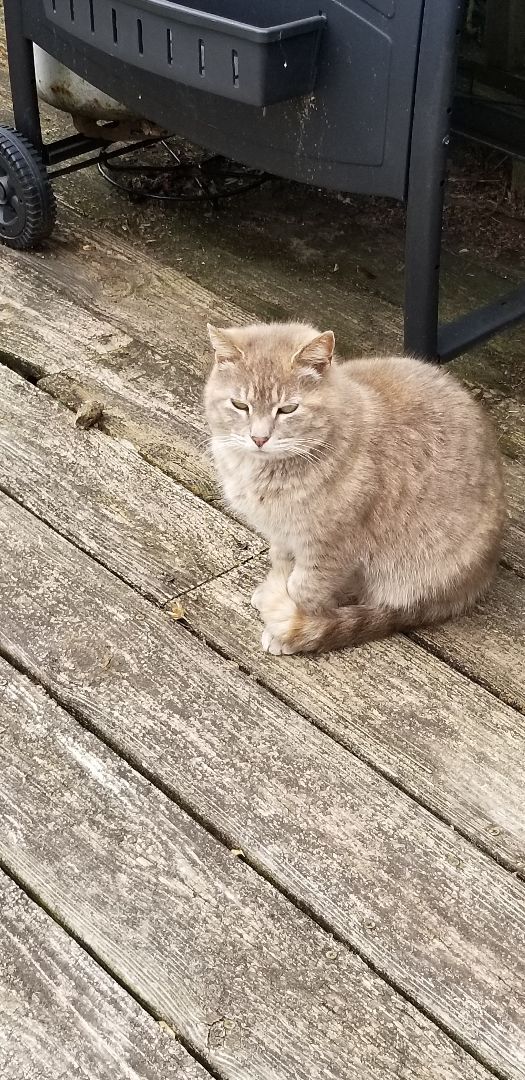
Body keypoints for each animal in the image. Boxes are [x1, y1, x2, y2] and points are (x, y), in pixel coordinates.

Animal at [204, 319, 505, 652]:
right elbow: (281, 563)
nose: (259, 438)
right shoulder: (282, 533)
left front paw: (293, 624)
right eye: (239, 405)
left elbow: (304, 588)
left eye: (287, 409)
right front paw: (275, 588)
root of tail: (483, 574)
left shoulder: (330, 549)